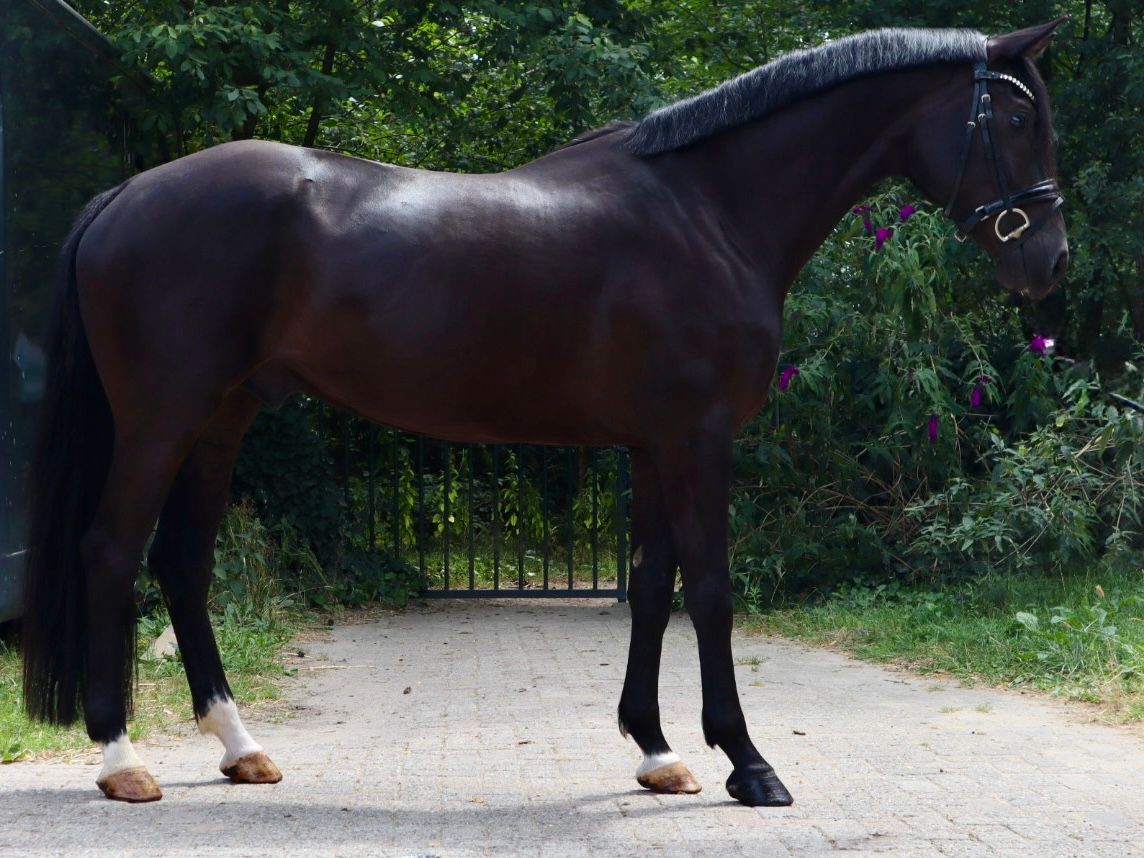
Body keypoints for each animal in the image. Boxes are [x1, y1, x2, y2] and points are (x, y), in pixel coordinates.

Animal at [22, 20, 1068, 805]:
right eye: (1018, 116)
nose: (1049, 261)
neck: (709, 209)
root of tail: (127, 193)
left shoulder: (653, 444)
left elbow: (651, 589)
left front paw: (657, 752)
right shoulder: (698, 439)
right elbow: (712, 592)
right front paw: (749, 762)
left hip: (222, 419)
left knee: (182, 565)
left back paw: (239, 748)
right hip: (161, 419)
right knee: (111, 554)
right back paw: (122, 760)